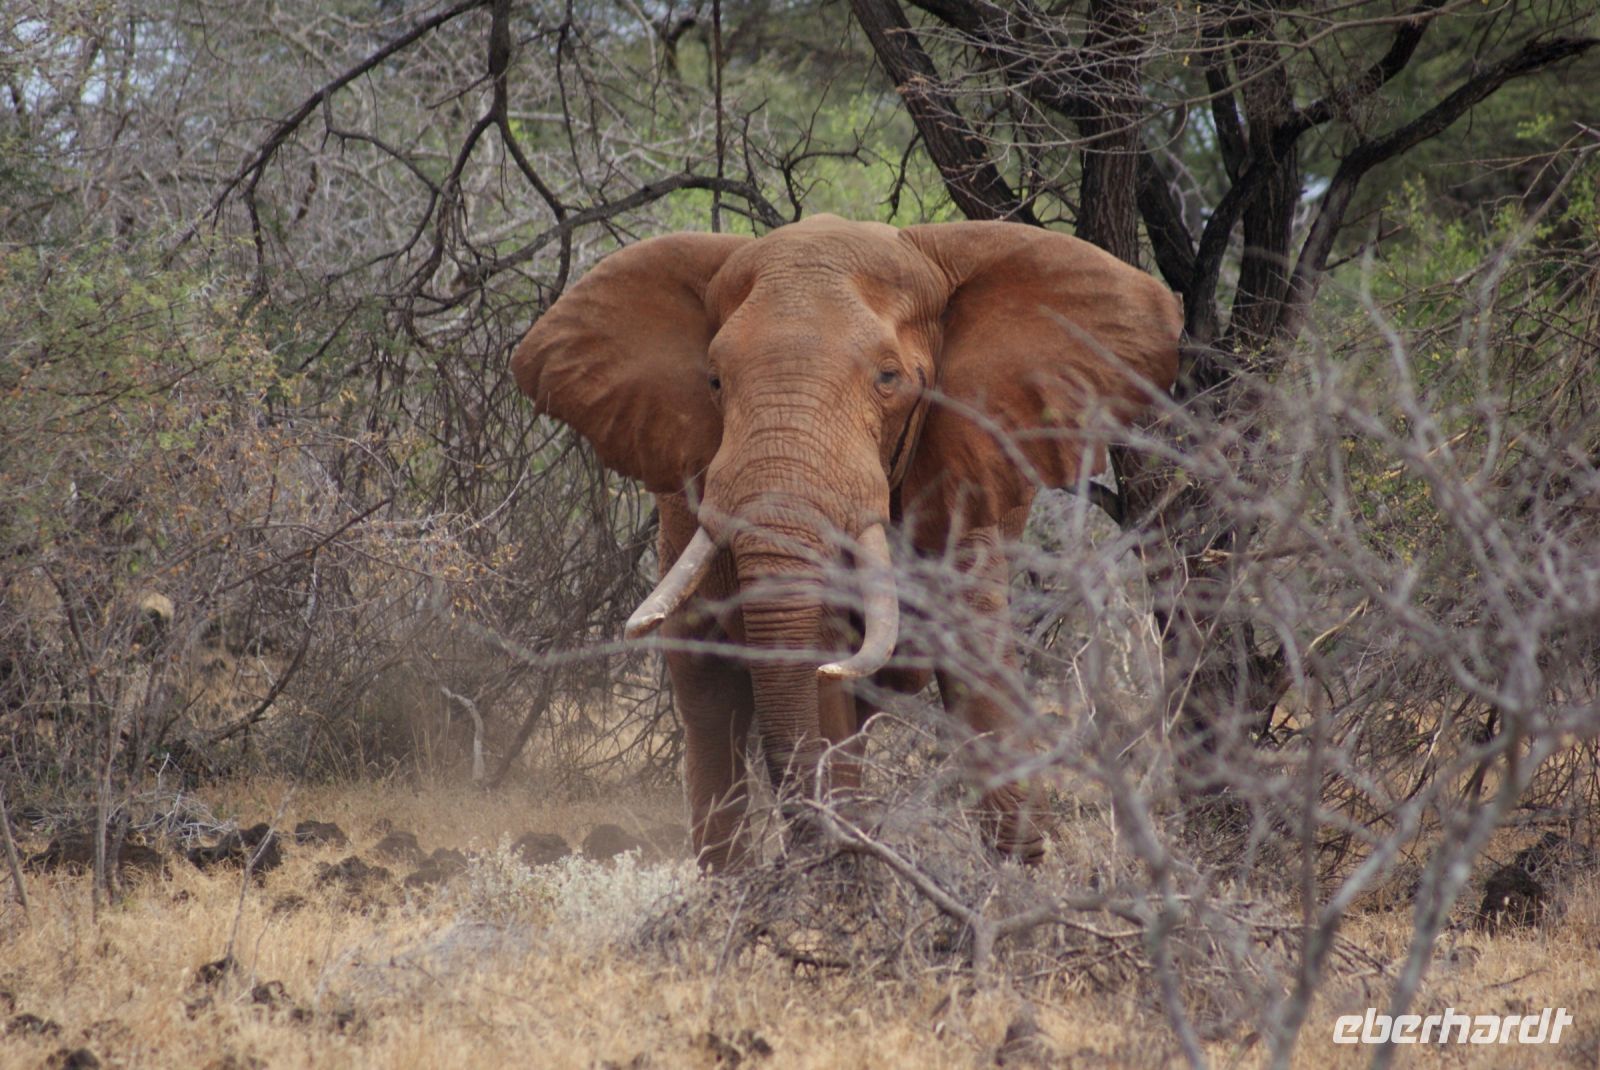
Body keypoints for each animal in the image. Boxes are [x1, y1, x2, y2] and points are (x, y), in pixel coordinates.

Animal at [512, 215, 1181, 870]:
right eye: (714, 381)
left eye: (889, 378)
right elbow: (816, 665)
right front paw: (840, 871)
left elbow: (974, 657)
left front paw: (1020, 873)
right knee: (708, 695)